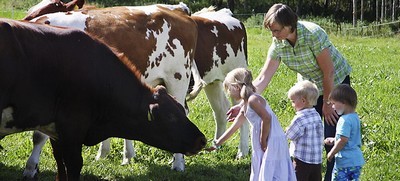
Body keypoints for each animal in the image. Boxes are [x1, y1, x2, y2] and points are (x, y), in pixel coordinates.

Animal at [0, 18, 206, 181]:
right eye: (170, 117)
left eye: (180, 110)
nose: (201, 140)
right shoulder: (71, 129)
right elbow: (71, 166)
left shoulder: (56, 132)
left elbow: (60, 166)